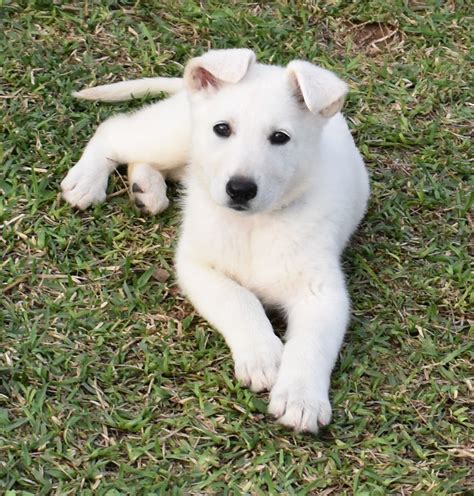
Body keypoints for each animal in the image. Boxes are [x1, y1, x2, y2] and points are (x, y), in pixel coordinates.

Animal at [60, 48, 370, 432]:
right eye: (222, 129)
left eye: (280, 137)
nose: (240, 189)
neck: (252, 226)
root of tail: (185, 92)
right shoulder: (197, 266)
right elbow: (239, 300)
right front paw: (262, 356)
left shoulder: (322, 292)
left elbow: (311, 345)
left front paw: (301, 398)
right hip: (172, 137)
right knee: (114, 130)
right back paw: (87, 180)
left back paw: (146, 189)